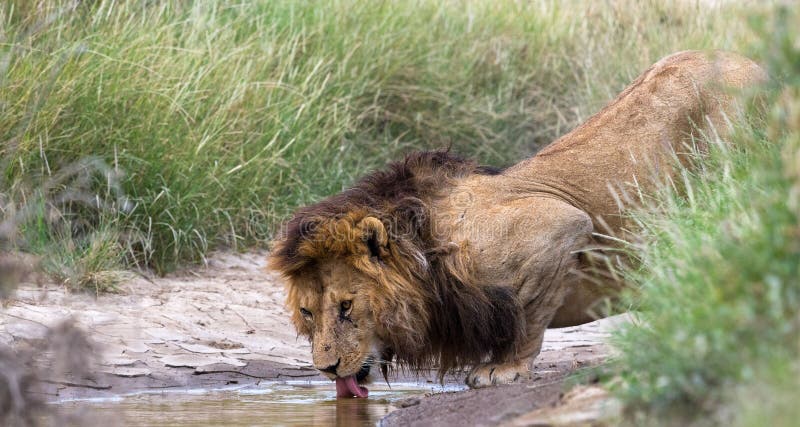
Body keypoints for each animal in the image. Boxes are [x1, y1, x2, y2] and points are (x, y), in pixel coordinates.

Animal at [269, 51, 765, 396]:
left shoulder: (560, 227)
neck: (427, 253)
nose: (326, 368)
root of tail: (756, 64)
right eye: (308, 313)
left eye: (347, 307)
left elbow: (526, 316)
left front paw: (502, 368)